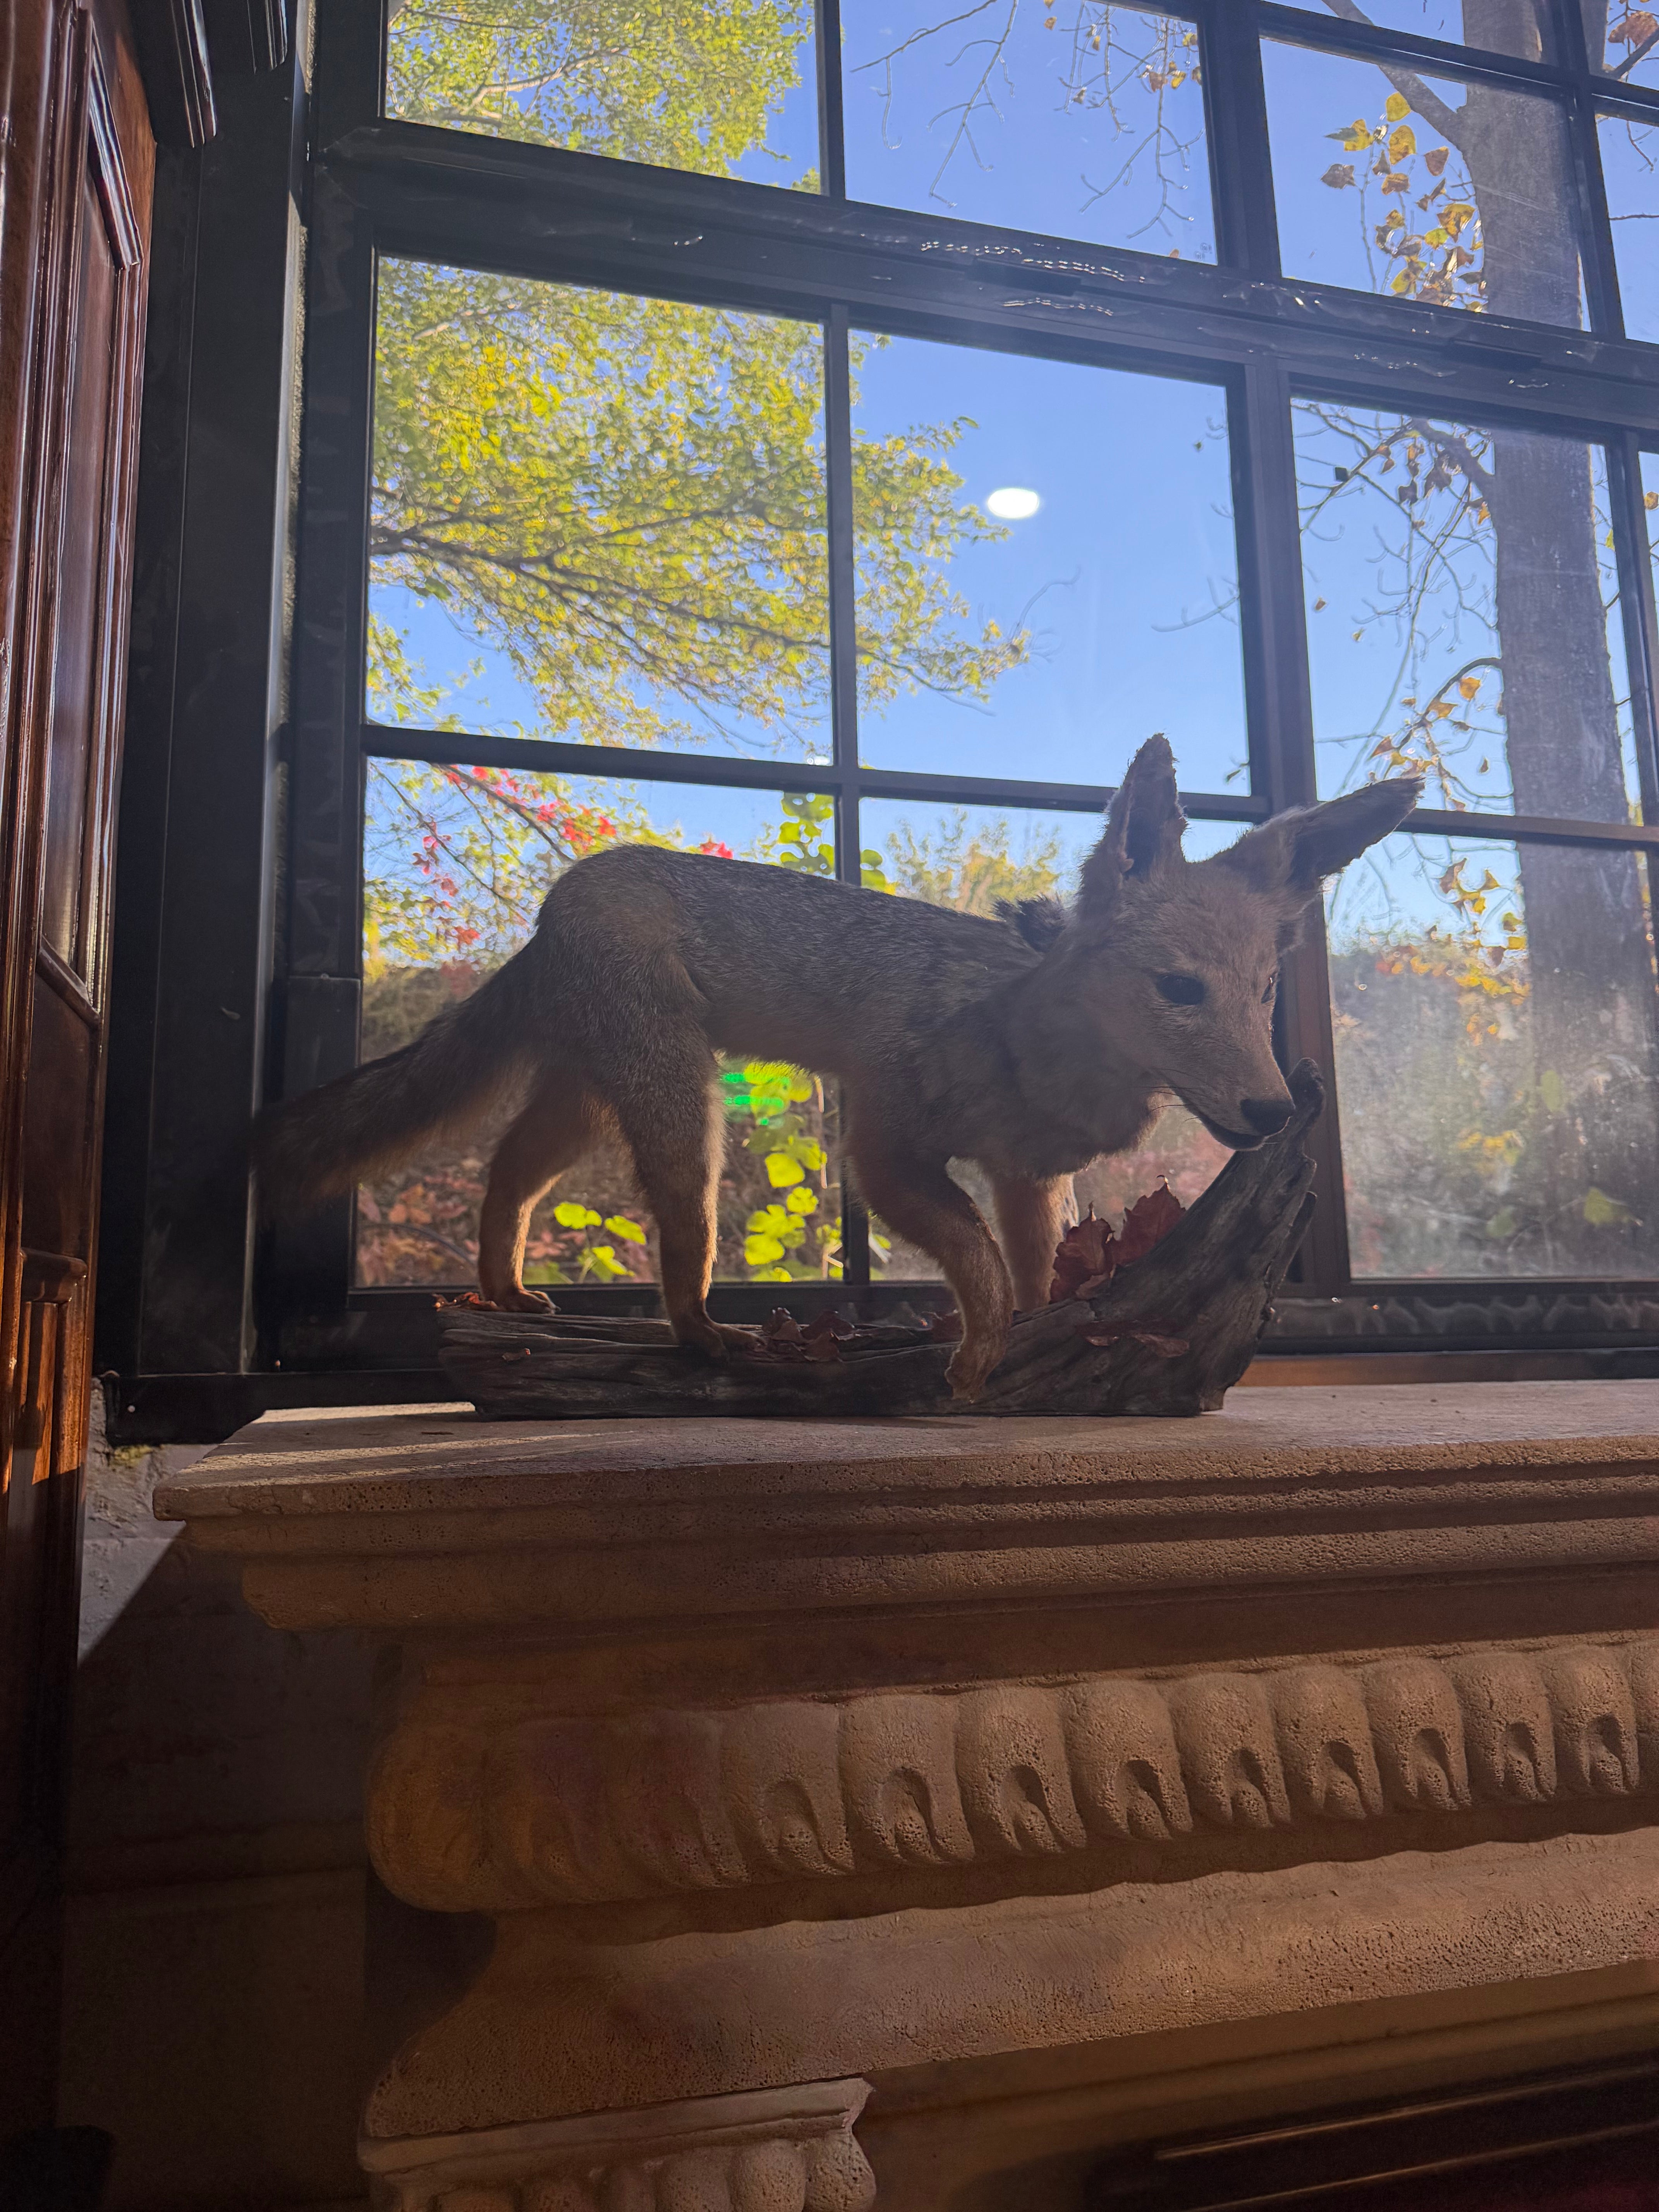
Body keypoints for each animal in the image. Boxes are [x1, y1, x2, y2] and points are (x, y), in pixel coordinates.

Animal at [256, 737, 1420, 1400]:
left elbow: (1034, 1274)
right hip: (685, 1127)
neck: (1031, 1047)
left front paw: (1031, 1352)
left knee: (503, 1174)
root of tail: (564, 895)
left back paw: (501, 1292)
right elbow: (979, 1266)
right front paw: (974, 1362)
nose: (1272, 1109)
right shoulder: (885, 1149)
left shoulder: (1029, 1178)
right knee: (674, 1258)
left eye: (1261, 996)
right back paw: (706, 1337)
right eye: (1180, 991)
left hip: (590, 1107)